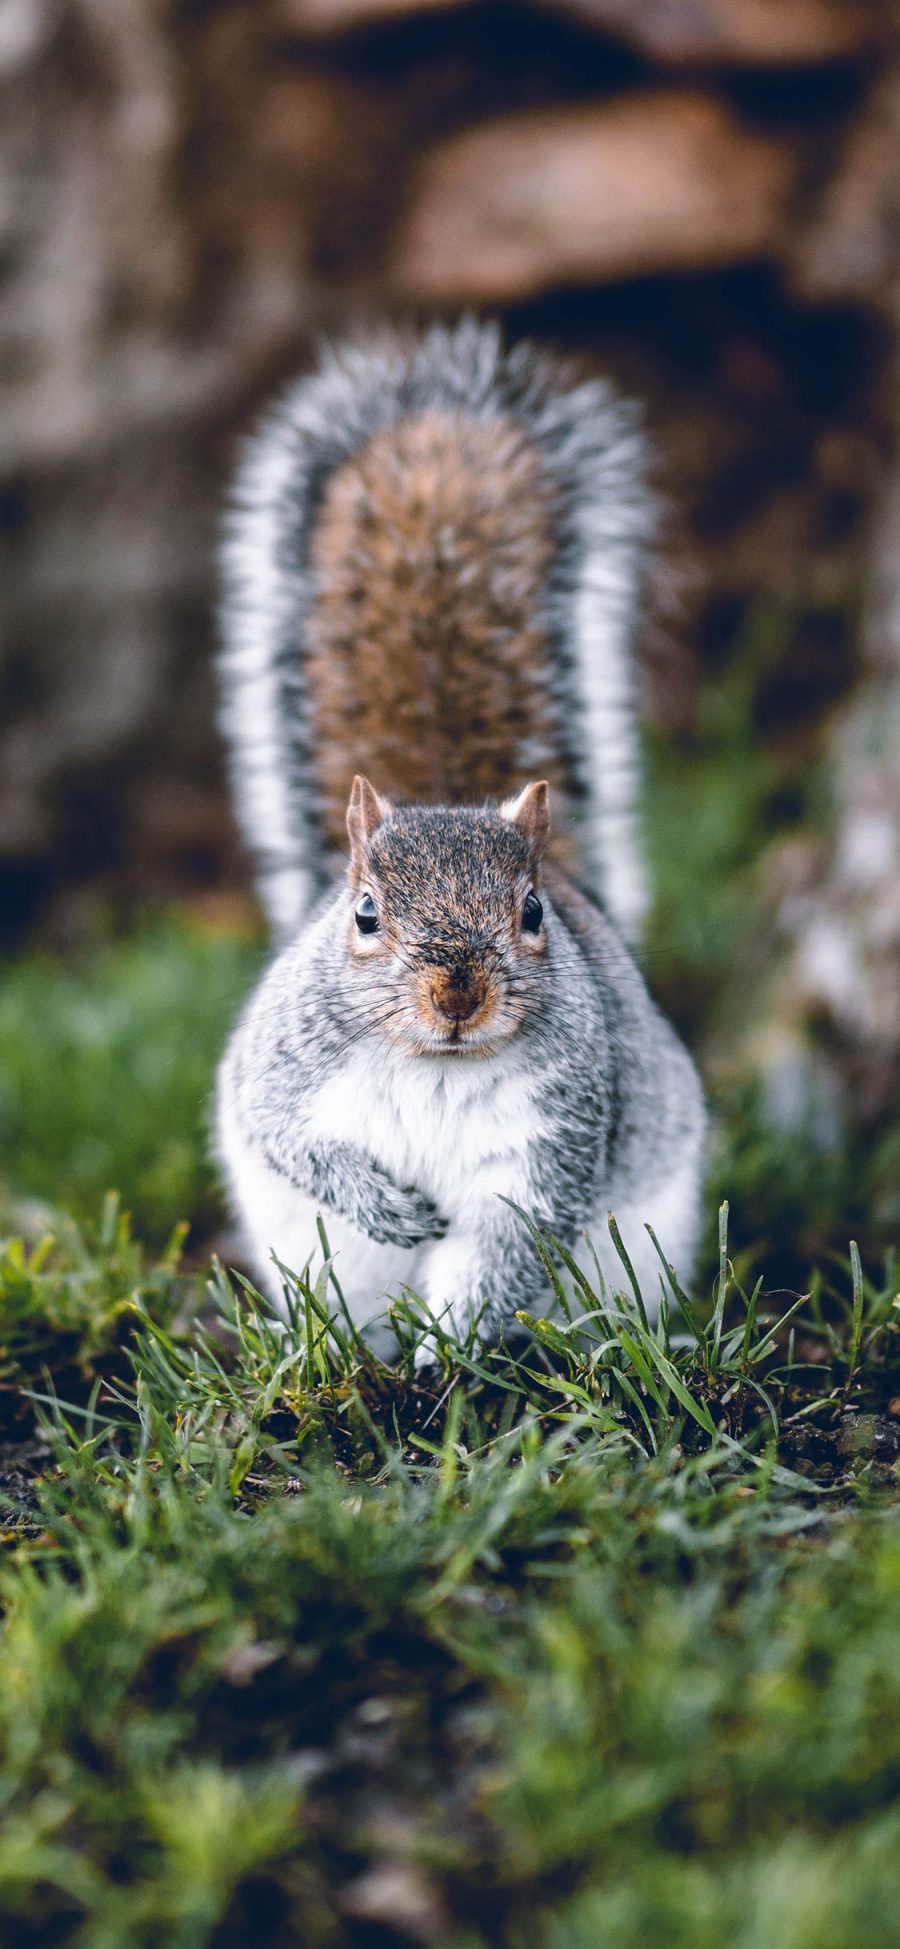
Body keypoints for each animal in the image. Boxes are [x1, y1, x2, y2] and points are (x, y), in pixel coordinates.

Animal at [214, 323, 705, 1356]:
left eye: (533, 912)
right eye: (364, 914)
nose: (457, 995)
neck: (432, 1065)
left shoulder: (544, 1151)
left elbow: (498, 1256)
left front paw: (454, 1353)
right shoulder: (283, 1073)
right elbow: (289, 1137)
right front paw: (385, 1205)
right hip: (316, 1259)